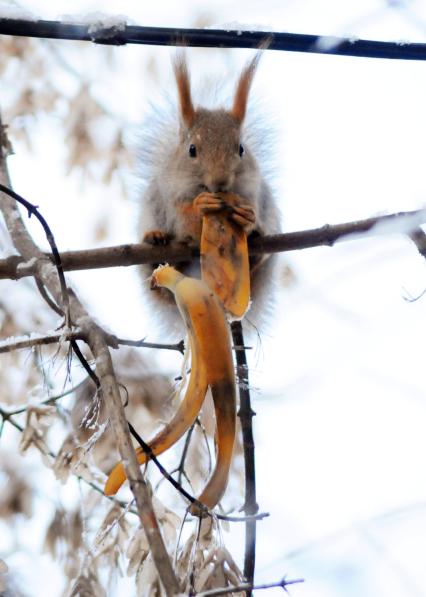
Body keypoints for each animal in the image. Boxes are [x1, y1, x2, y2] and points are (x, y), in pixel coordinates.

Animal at [138, 49, 282, 332]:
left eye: (241, 149)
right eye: (192, 150)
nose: (220, 182)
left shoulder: (255, 193)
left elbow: (251, 210)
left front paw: (246, 217)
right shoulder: (171, 198)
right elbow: (186, 219)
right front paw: (200, 205)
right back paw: (155, 238)